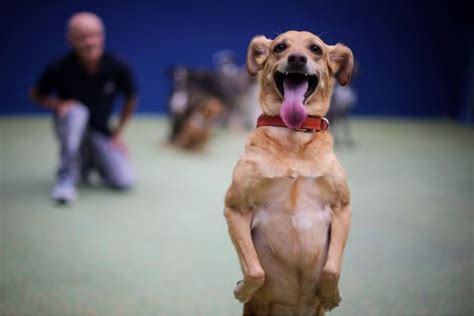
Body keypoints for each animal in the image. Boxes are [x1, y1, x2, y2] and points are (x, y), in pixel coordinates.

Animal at [224, 30, 354, 316]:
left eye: (316, 49)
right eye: (279, 47)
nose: (296, 58)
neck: (293, 137)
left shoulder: (342, 208)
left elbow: (331, 268)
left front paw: (331, 295)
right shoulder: (235, 209)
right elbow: (255, 271)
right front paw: (243, 289)